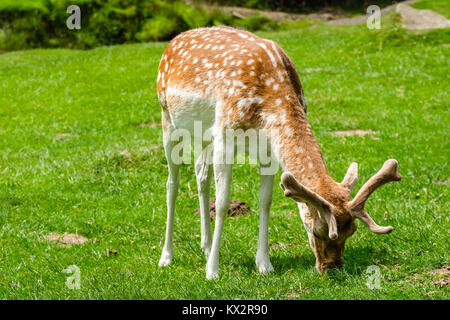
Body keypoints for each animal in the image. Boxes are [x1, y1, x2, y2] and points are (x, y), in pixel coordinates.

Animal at [156, 26, 400, 278]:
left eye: (352, 231)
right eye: (318, 231)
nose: (332, 267)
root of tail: (173, 41)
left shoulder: (268, 151)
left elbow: (266, 201)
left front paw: (264, 264)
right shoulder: (225, 134)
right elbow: (223, 202)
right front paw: (212, 271)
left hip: (204, 134)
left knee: (200, 172)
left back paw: (204, 246)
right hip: (167, 117)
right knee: (172, 183)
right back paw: (167, 256)